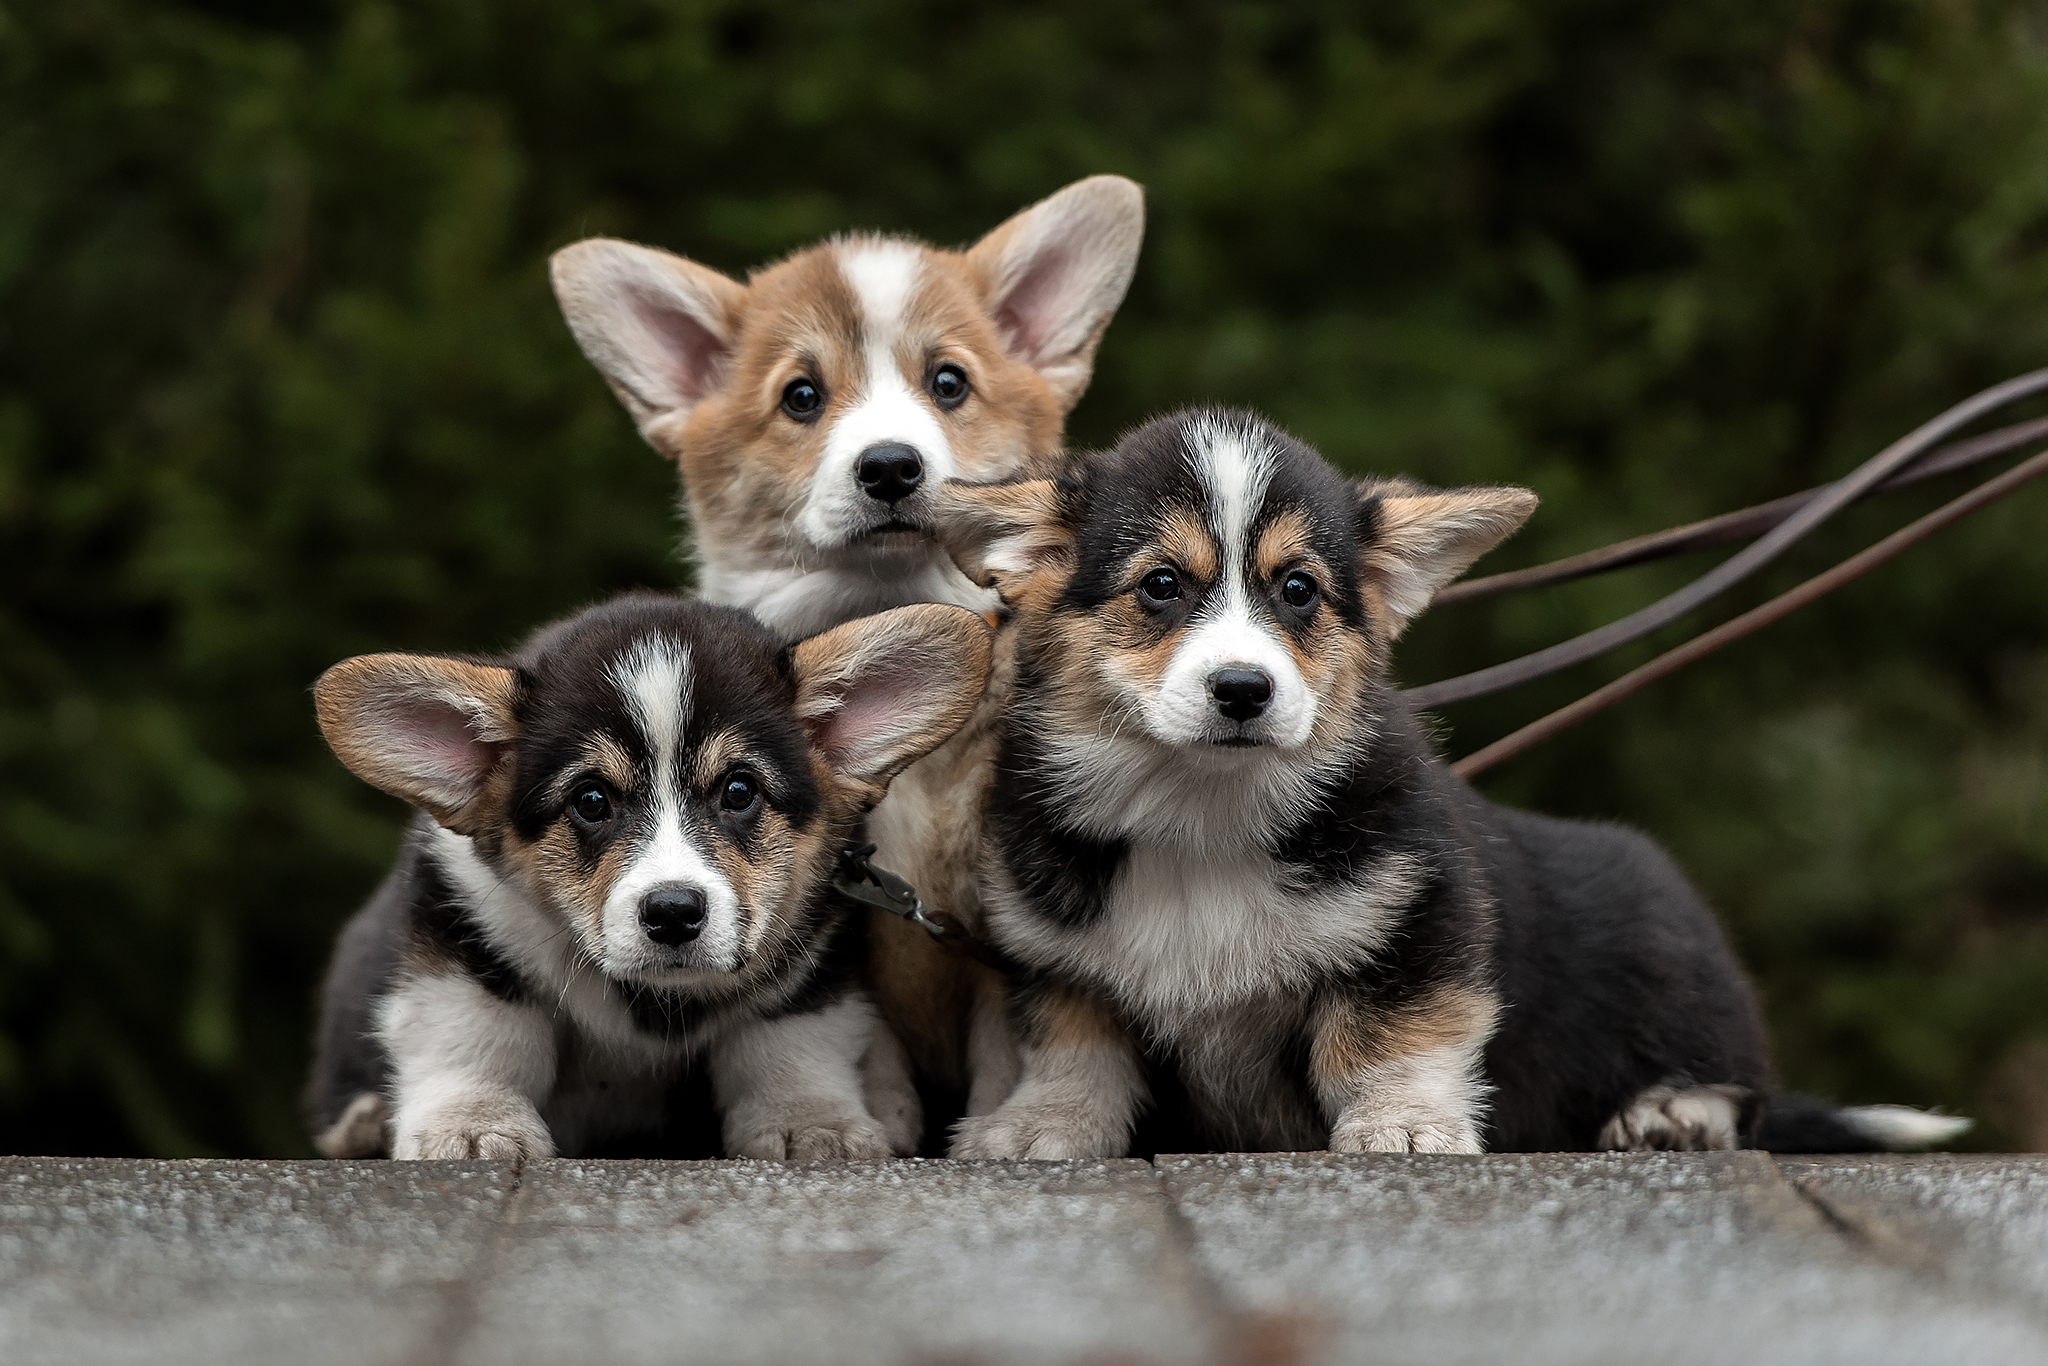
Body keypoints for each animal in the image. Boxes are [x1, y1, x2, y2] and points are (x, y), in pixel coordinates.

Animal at [301, 593, 991, 1163]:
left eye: (739, 791)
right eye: (591, 800)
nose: (673, 912)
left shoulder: (807, 960)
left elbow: (789, 1045)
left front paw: (812, 1123)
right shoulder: (468, 931)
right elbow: (475, 1036)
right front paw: (470, 1127)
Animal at [544, 179, 1146, 1146]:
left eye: (949, 383)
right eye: (801, 396)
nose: (891, 467)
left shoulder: (995, 922)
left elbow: (1004, 1051)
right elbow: (868, 1047)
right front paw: (880, 1124)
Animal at [937, 411, 1974, 1163]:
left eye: (1299, 589)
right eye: (1160, 585)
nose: (1243, 690)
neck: (1205, 812)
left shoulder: (1422, 915)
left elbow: (1390, 1039)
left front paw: (1404, 1129)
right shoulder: (1056, 959)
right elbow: (1074, 1049)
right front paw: (1038, 1128)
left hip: (1667, 947)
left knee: (1735, 1085)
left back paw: (1674, 1115)